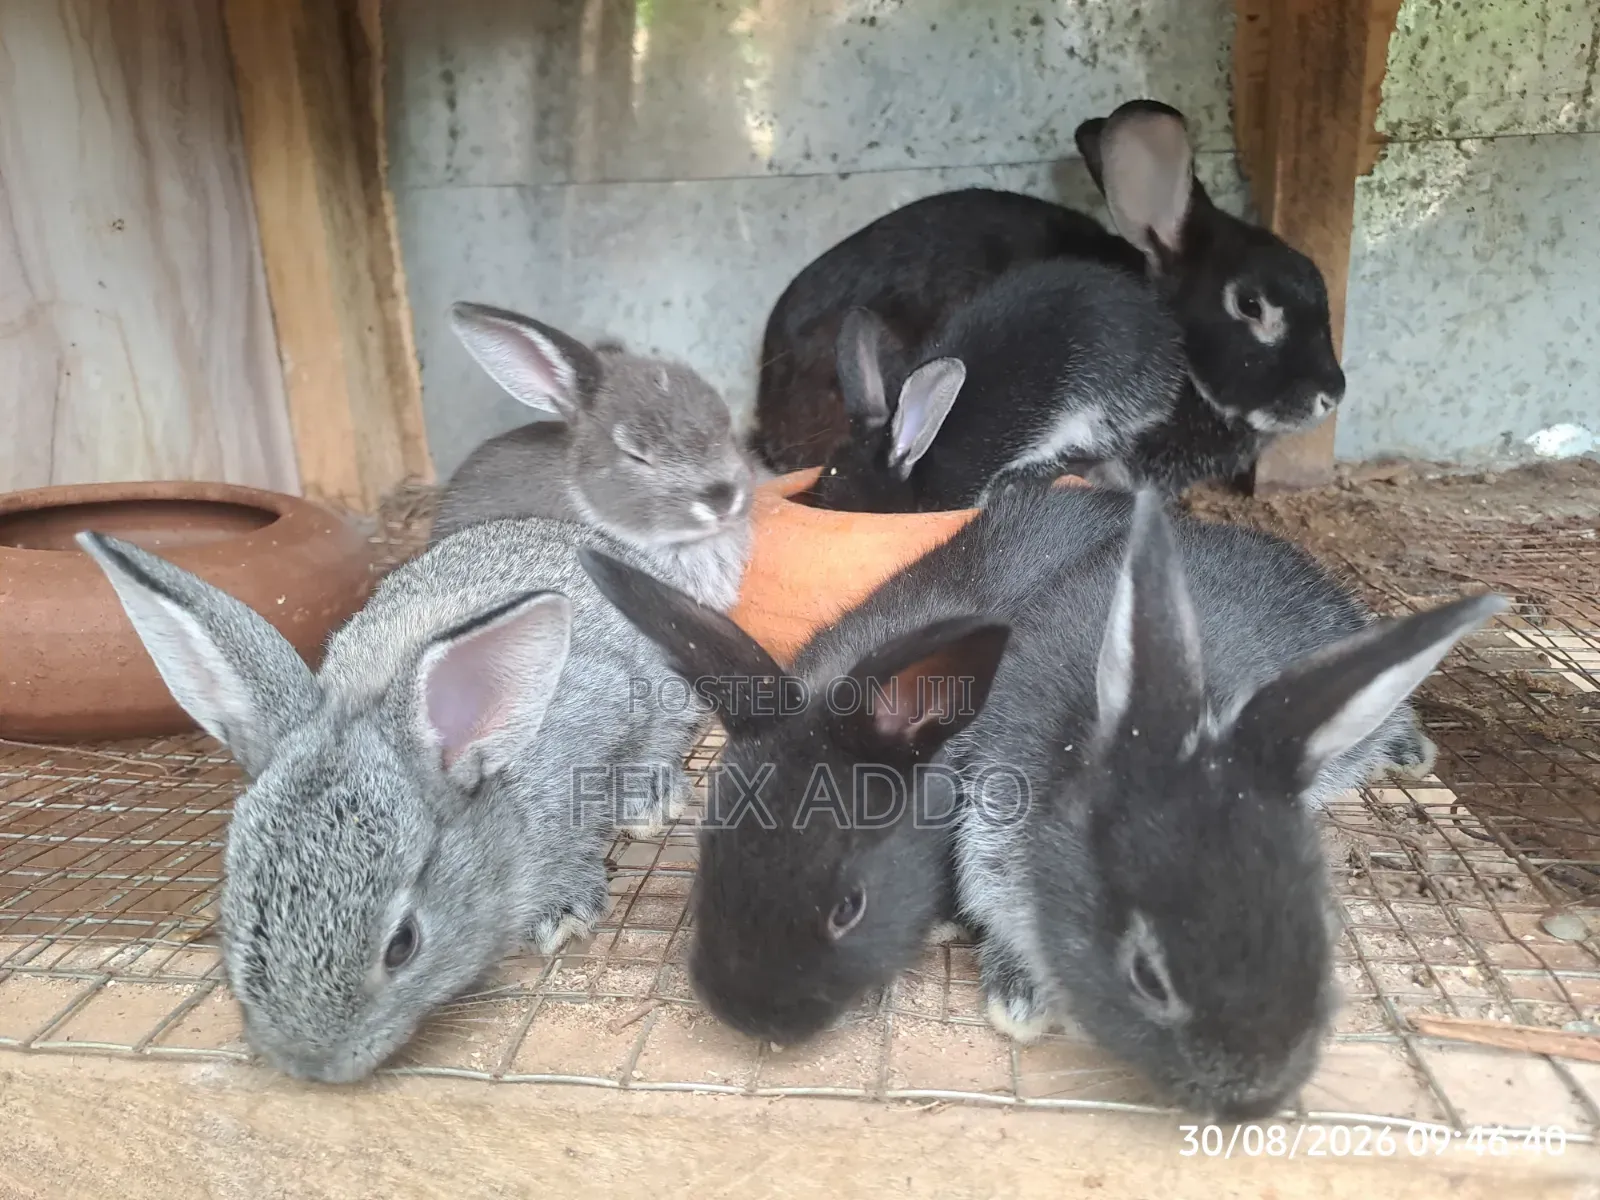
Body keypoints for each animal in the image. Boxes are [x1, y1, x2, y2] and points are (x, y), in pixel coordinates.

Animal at [800, 257, 1186, 513]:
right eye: (827, 466)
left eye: (836, 476)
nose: (814, 504)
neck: (917, 462)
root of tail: (1167, 346)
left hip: (1091, 417)